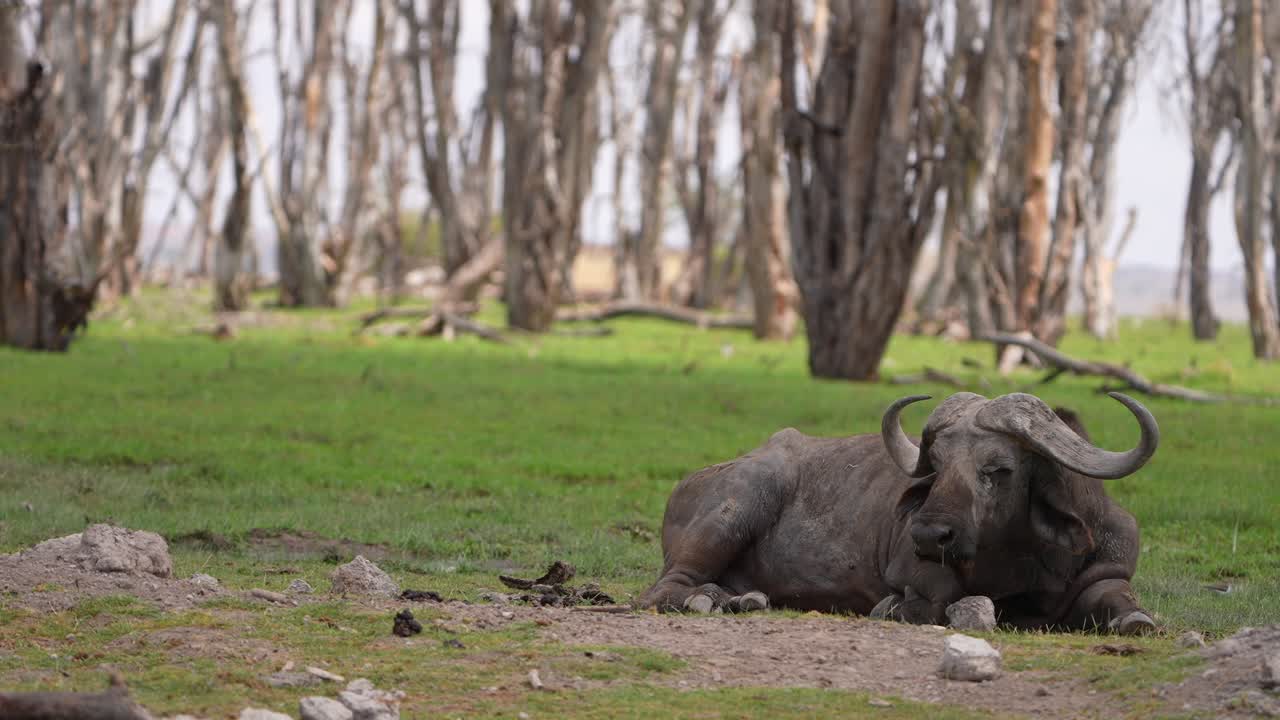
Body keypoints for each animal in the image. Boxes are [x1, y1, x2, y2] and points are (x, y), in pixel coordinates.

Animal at [637, 391, 1159, 634]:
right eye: (938, 464)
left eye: (999, 468)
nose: (928, 535)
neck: (1022, 559)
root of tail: (690, 481)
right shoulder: (916, 575)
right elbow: (933, 602)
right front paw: (892, 607)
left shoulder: (1107, 572)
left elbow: (1125, 606)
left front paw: (1136, 621)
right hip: (740, 501)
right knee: (661, 590)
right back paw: (706, 600)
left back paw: (742, 599)